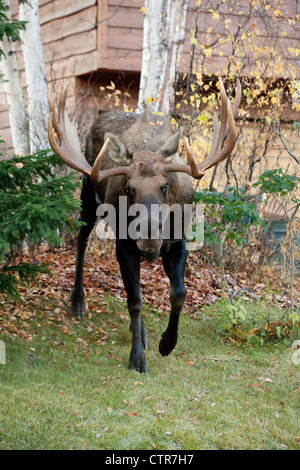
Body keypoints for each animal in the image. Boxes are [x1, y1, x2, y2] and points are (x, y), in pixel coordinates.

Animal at [48, 77, 240, 372]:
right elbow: (135, 301)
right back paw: (77, 302)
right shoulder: (125, 244)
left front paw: (166, 343)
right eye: (129, 188)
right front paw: (136, 358)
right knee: (81, 239)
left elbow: (179, 293)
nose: (149, 236)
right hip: (88, 193)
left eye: (165, 185)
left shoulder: (178, 241)